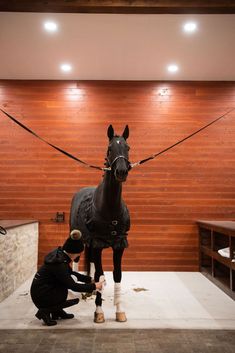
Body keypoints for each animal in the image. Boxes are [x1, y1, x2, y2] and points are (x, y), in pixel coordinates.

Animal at [70, 125, 131, 324]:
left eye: (128, 147)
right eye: (109, 148)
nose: (121, 172)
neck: (109, 208)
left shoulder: (119, 244)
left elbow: (117, 274)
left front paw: (119, 311)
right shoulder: (97, 244)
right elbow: (100, 274)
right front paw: (98, 312)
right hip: (79, 238)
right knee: (76, 260)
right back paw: (77, 291)